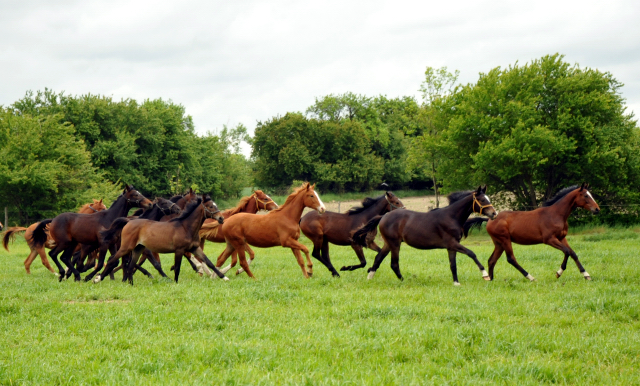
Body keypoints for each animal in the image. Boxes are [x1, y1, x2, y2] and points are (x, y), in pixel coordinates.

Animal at [94, 196, 226, 284]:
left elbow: (208, 261)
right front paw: (174, 282)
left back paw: (130, 283)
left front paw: (223, 277)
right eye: (210, 206)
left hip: (138, 249)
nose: (221, 218)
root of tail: (128, 221)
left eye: (215, 205)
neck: (186, 227)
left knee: (130, 265)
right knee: (112, 260)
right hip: (127, 247)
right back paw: (97, 278)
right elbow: (177, 267)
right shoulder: (179, 250)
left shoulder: (195, 248)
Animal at [352, 185, 498, 284]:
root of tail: (383, 216)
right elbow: (471, 253)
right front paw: (485, 274)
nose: (494, 213)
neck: (451, 217)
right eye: (482, 200)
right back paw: (403, 280)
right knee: (394, 264)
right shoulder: (452, 243)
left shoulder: (451, 246)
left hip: (389, 243)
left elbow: (453, 265)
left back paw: (370, 277)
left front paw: (456, 283)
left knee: (378, 259)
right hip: (395, 244)